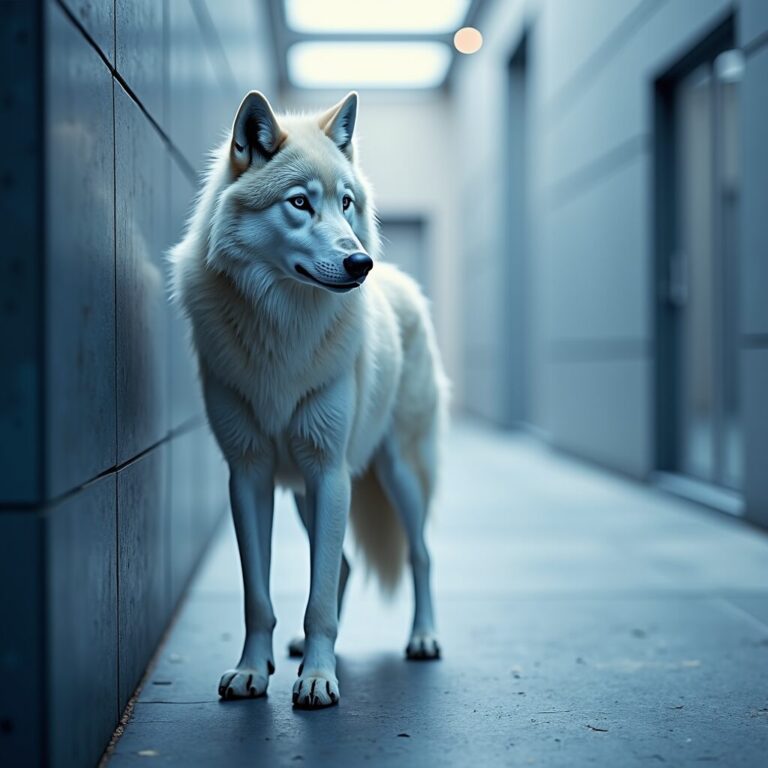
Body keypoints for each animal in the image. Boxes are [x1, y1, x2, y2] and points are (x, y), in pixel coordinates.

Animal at [170, 91, 448, 708]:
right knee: (342, 564)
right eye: (300, 202)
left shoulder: (329, 471)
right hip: (304, 493)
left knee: (420, 554)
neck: (282, 329)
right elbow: (259, 596)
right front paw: (254, 671)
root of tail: (404, 282)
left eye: (346, 203)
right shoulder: (249, 474)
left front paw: (319, 679)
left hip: (396, 474)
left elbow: (318, 599)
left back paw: (423, 638)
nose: (360, 263)